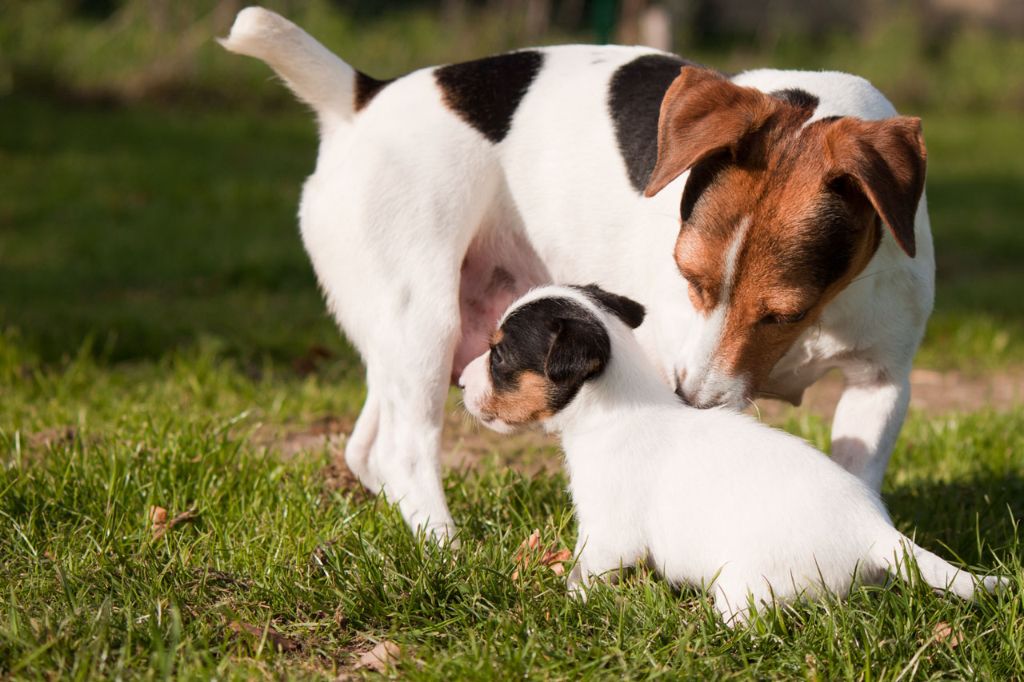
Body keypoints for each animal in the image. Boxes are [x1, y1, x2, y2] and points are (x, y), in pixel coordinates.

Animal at [220, 7, 933, 540]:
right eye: (688, 277)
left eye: (784, 312)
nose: (693, 400)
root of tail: (362, 99)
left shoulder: (880, 383)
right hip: (423, 320)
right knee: (404, 447)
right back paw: (447, 549)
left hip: (398, 335)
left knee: (369, 447)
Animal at [460, 284, 1003, 622]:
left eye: (500, 355)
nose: (460, 383)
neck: (614, 407)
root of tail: (873, 531)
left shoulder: (608, 534)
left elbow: (584, 572)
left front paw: (570, 600)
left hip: (747, 584)